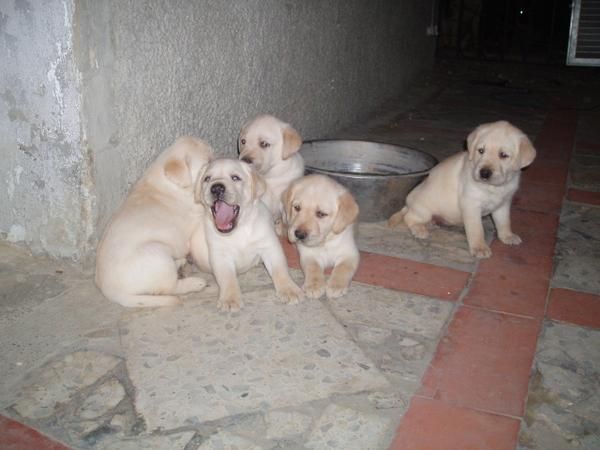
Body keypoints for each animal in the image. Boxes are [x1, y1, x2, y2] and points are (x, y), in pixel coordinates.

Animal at [95, 136, 213, 306]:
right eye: (208, 161)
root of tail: (109, 291)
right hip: (159, 255)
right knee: (170, 288)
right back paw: (195, 283)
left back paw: (180, 262)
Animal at [191, 156, 304, 312]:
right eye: (207, 179)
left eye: (235, 178)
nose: (216, 188)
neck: (239, 228)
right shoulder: (220, 256)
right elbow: (227, 278)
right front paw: (230, 298)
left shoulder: (270, 247)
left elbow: (280, 269)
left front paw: (289, 289)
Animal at [390, 119, 540, 258]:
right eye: (481, 151)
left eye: (503, 155)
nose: (484, 173)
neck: (493, 187)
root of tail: (408, 203)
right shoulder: (471, 204)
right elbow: (476, 229)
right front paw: (480, 248)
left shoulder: (503, 203)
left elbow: (504, 221)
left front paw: (507, 236)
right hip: (423, 209)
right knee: (409, 218)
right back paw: (420, 229)